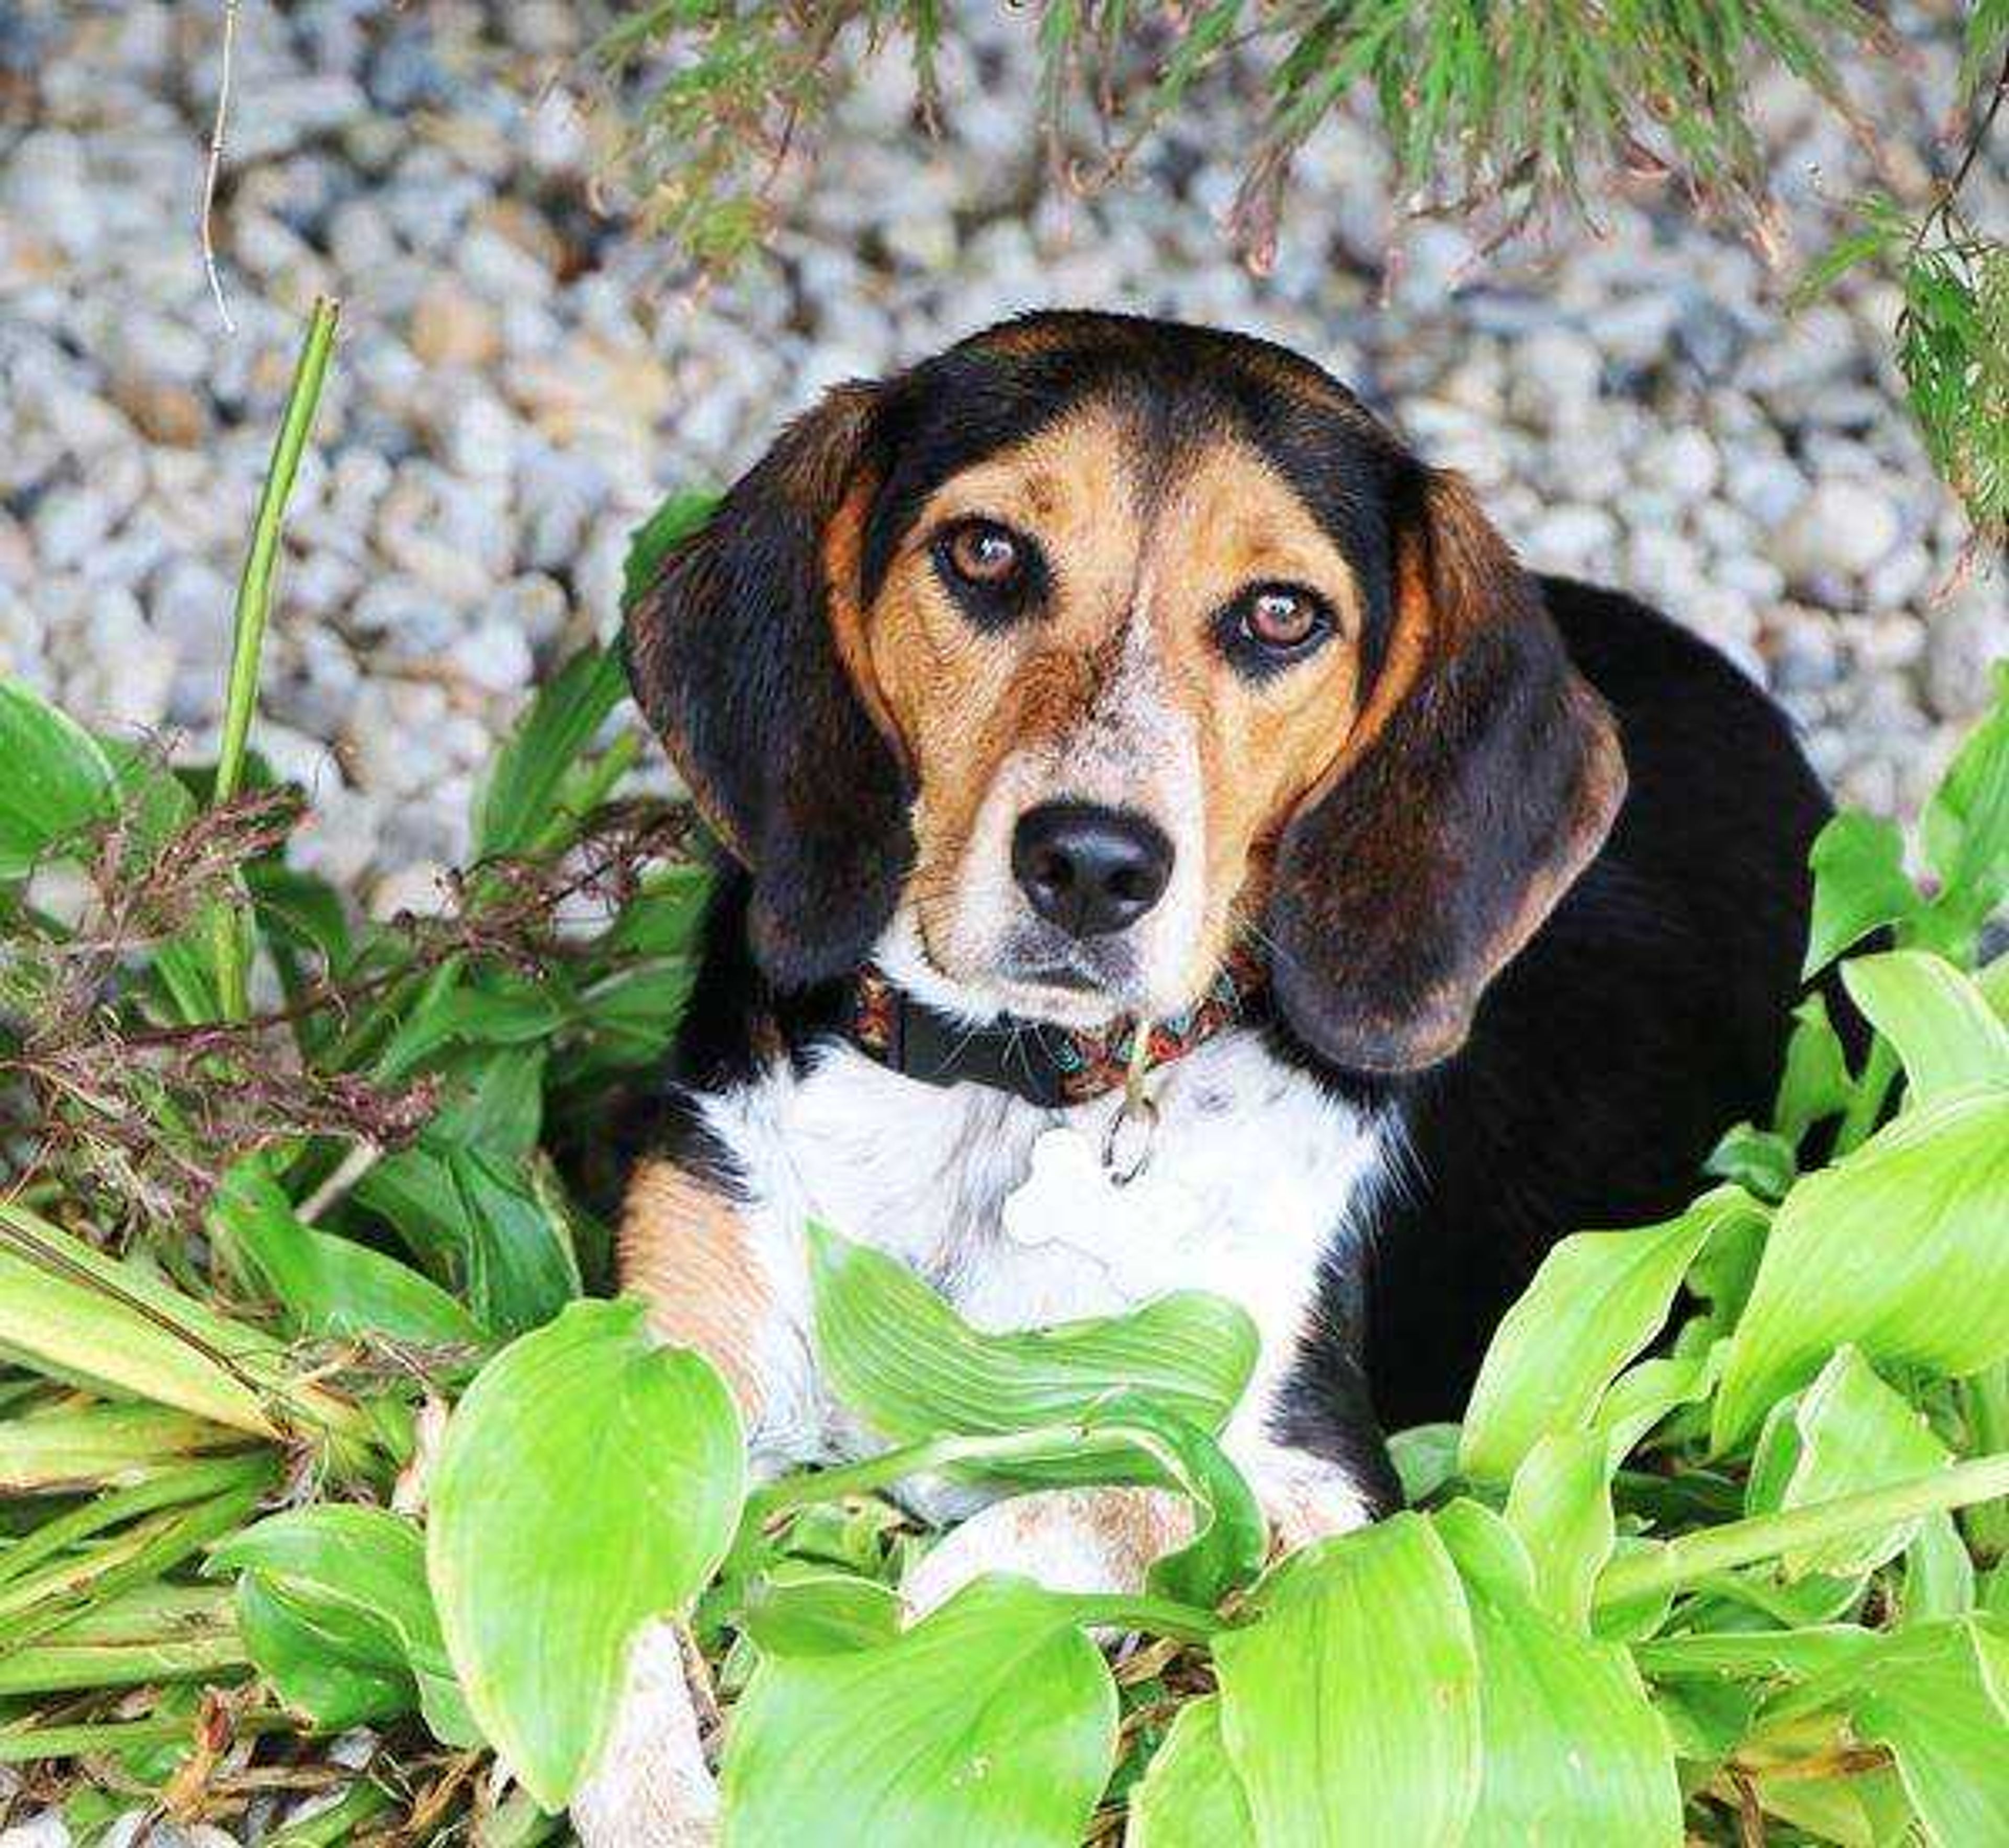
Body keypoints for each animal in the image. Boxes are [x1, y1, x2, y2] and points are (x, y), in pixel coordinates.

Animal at [574, 311, 1832, 1840]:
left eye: (1282, 613)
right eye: (985, 552)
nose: (1091, 862)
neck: (1017, 1087)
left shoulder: (1332, 1483)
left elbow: (1142, 1491)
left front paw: (939, 1610)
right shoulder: (648, 1374)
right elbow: (586, 1623)